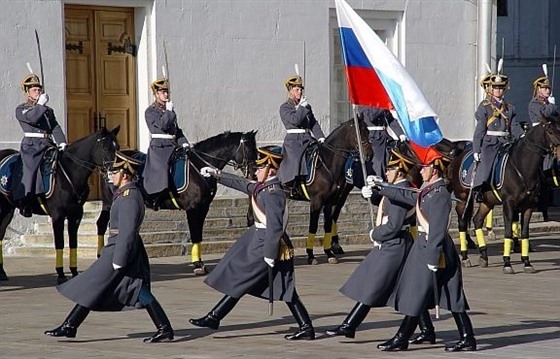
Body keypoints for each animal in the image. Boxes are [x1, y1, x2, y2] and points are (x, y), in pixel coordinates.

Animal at [0, 127, 120, 284]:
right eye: (106, 147)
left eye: (118, 148)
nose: (116, 172)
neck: (70, 174)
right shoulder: (58, 215)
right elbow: (60, 242)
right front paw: (61, 274)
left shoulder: (76, 215)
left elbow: (73, 242)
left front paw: (74, 272)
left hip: (7, 210)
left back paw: (2, 273)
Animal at [96, 131, 258, 276]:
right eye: (249, 150)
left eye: (256, 150)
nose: (254, 173)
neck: (198, 166)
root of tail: (109, 164)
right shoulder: (193, 209)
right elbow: (195, 233)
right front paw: (198, 264)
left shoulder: (203, 207)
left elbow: (199, 234)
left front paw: (199, 263)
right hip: (109, 203)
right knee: (103, 224)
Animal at [288, 117, 372, 264]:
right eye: (358, 133)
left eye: (368, 131)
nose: (369, 154)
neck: (327, 164)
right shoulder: (316, 201)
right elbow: (313, 226)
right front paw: (311, 255)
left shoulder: (331, 200)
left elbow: (328, 224)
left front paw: (329, 253)